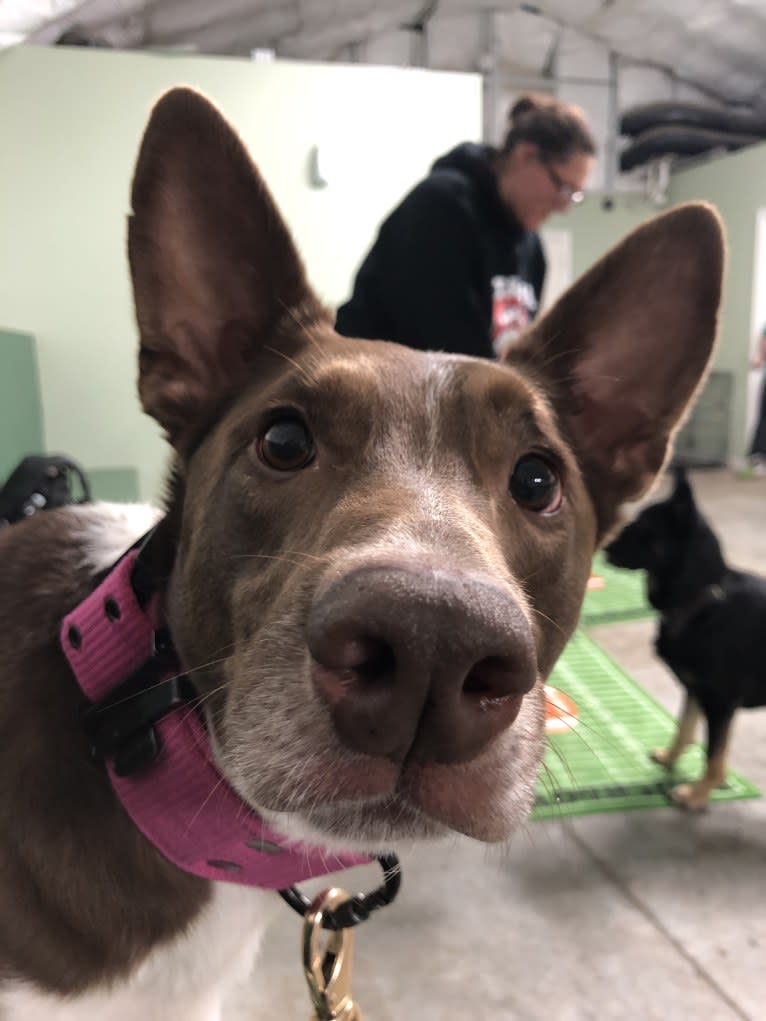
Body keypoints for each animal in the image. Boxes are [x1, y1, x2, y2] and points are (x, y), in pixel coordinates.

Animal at [608, 467, 763, 808]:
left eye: (644, 527)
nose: (604, 547)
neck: (703, 601)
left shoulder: (719, 703)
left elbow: (713, 755)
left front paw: (698, 794)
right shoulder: (695, 690)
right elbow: (684, 728)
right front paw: (670, 759)